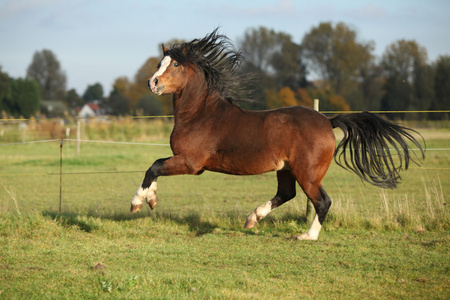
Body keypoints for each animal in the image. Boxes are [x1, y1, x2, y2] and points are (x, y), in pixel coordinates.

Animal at [129, 29, 422, 241]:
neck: (201, 114)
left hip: (308, 173)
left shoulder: (191, 163)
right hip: (286, 169)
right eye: (160, 63)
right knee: (287, 194)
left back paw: (306, 236)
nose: (152, 82)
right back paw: (253, 218)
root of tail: (328, 121)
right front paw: (151, 199)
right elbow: (155, 166)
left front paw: (138, 202)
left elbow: (153, 167)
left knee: (322, 201)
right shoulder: (185, 160)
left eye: (176, 64)